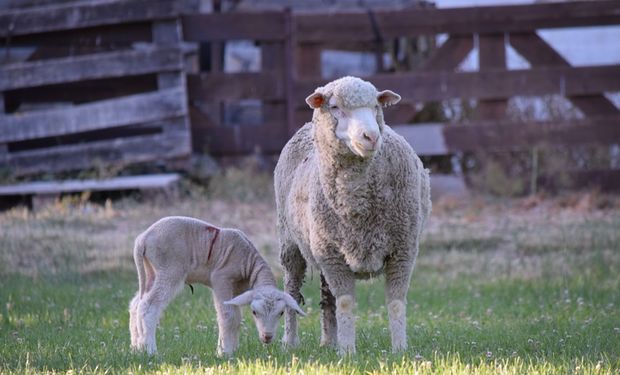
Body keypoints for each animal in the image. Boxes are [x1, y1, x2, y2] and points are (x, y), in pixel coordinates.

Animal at [128, 216, 306, 356]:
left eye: (281, 313)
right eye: (254, 312)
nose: (267, 337)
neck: (249, 263)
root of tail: (142, 239)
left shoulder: (237, 291)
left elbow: (236, 317)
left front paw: (231, 348)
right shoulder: (222, 279)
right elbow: (228, 316)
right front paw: (224, 352)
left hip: (151, 270)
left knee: (137, 304)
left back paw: (137, 347)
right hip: (169, 269)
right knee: (149, 306)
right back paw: (151, 350)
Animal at [276, 76, 432, 356]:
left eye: (375, 106)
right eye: (335, 107)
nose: (371, 136)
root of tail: (304, 127)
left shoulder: (403, 249)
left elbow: (395, 303)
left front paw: (400, 350)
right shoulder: (333, 256)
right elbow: (346, 303)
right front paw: (348, 352)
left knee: (327, 297)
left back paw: (329, 340)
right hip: (291, 243)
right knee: (292, 290)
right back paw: (290, 341)